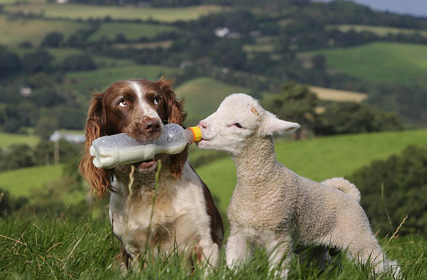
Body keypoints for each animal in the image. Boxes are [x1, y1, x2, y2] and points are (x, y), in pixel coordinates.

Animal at [196, 93, 402, 278]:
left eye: (238, 125)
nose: (202, 125)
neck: (260, 185)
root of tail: (351, 196)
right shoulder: (239, 234)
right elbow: (233, 267)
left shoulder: (279, 235)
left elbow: (277, 272)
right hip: (314, 246)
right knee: (325, 264)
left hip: (357, 234)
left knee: (383, 264)